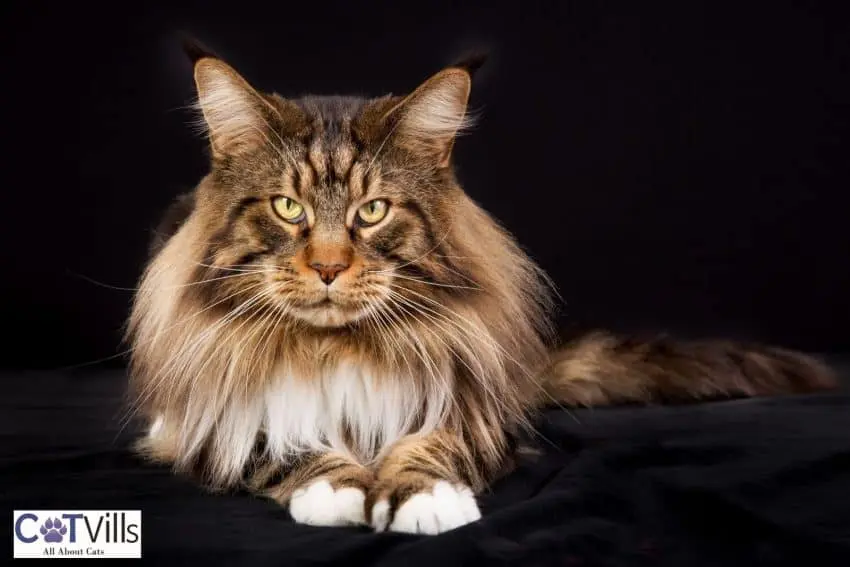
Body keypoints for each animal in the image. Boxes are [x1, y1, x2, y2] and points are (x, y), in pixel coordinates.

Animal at [127, 42, 836, 536]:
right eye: (287, 208)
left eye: (373, 212)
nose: (328, 267)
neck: (339, 348)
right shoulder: (202, 415)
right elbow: (271, 440)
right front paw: (336, 486)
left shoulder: (475, 402)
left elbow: (434, 442)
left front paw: (423, 497)